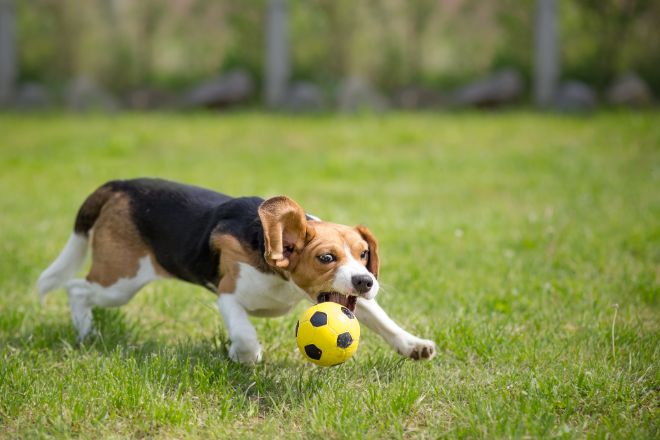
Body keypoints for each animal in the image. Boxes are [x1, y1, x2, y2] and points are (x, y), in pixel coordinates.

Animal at [38, 179, 436, 364]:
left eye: (364, 254)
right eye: (326, 258)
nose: (366, 281)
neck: (283, 277)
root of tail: (119, 186)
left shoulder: (351, 300)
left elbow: (383, 321)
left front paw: (413, 345)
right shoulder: (229, 295)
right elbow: (244, 333)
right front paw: (246, 356)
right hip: (121, 281)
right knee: (76, 288)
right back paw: (86, 332)